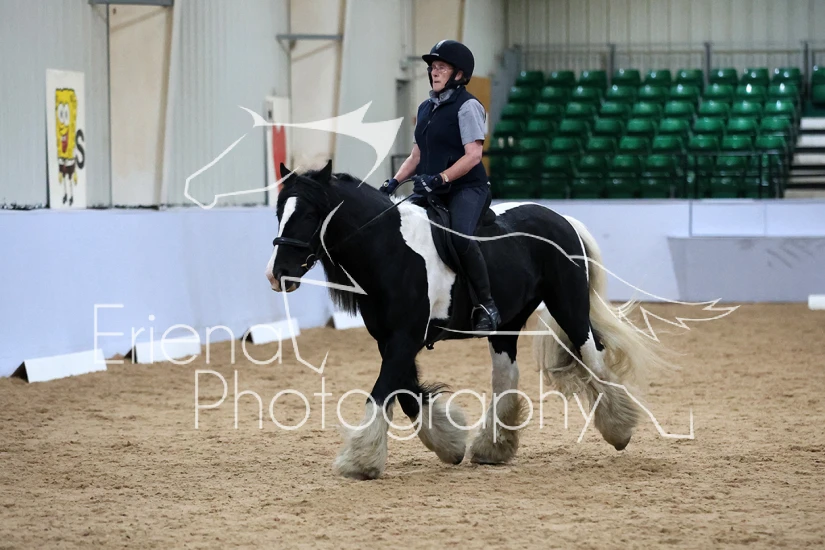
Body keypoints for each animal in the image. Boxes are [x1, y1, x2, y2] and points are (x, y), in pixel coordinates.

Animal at [266, 160, 668, 480]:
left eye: (309, 214)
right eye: (279, 212)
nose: (277, 274)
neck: (390, 249)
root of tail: (561, 219)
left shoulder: (404, 338)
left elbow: (382, 392)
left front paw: (359, 461)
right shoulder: (390, 339)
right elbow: (408, 394)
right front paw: (449, 445)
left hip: (567, 305)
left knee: (593, 356)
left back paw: (619, 429)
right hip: (506, 323)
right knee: (506, 375)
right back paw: (493, 447)